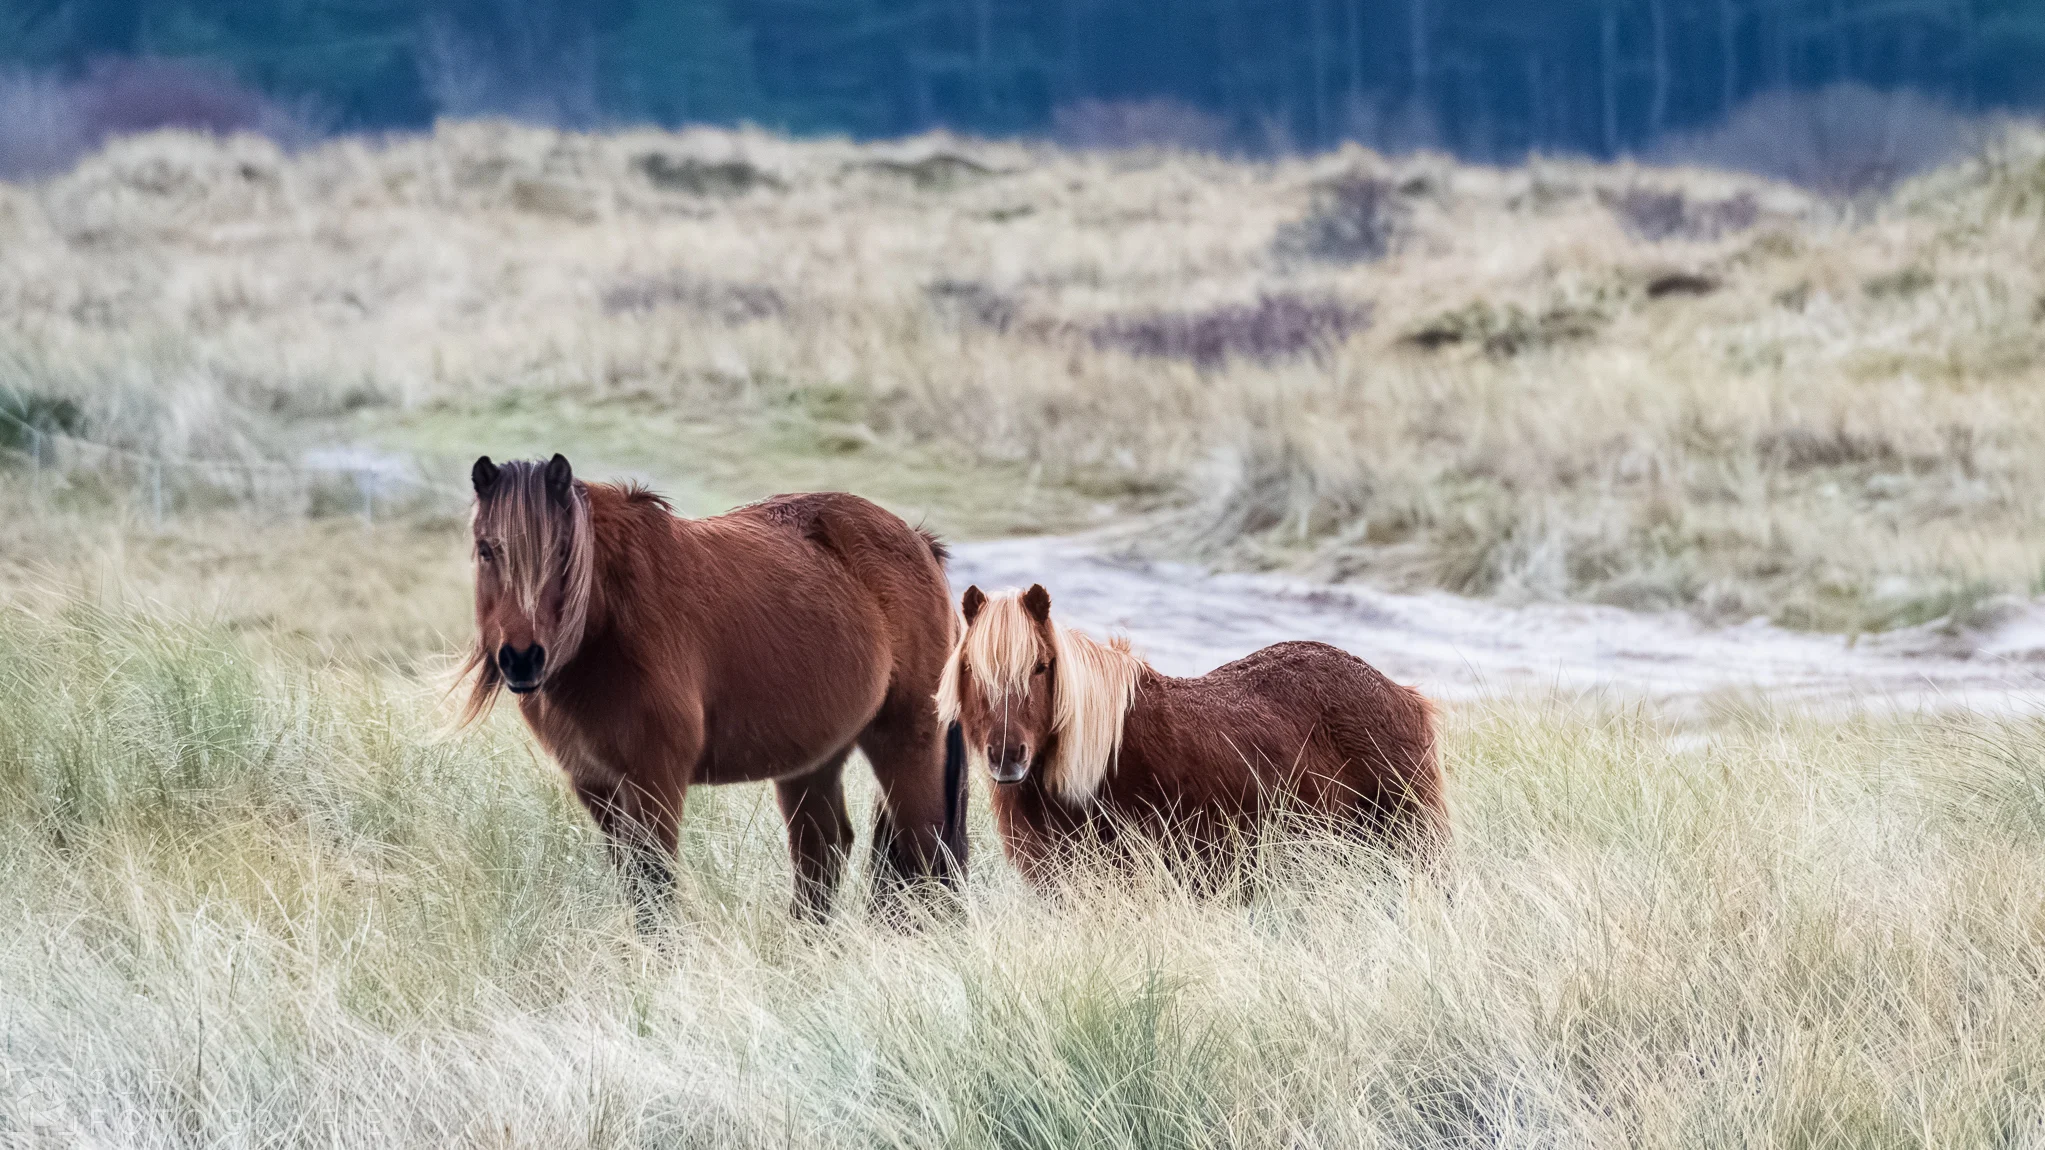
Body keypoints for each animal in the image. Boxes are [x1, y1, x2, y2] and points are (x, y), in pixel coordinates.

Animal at [461, 454, 968, 926]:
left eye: (563, 551)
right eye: (486, 549)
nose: (522, 659)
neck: (610, 623)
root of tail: (921, 543)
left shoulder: (654, 780)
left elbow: (654, 886)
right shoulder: (595, 785)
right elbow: (634, 882)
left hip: (906, 742)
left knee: (925, 846)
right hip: (814, 761)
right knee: (822, 853)